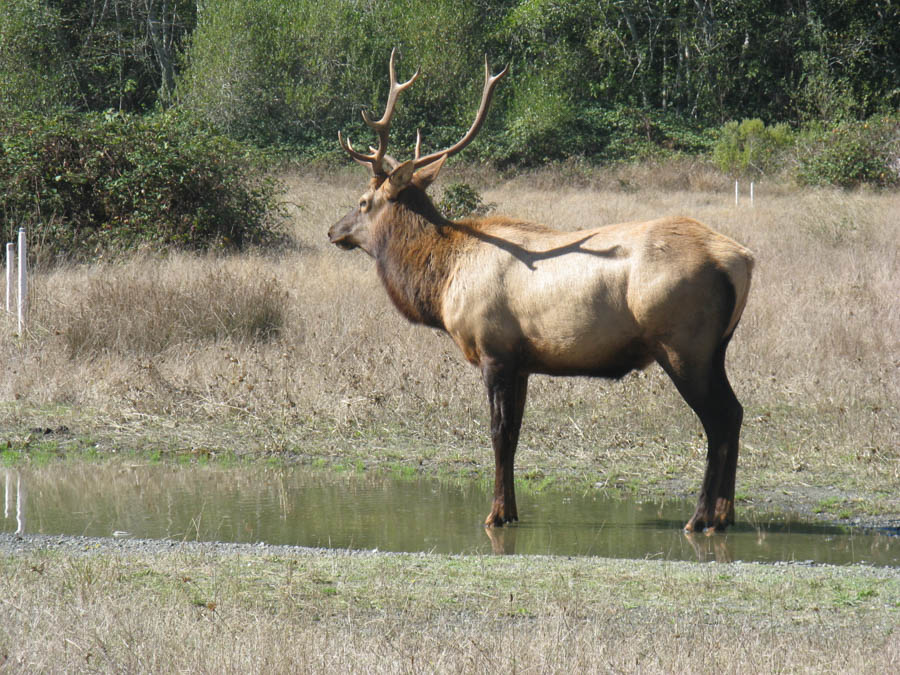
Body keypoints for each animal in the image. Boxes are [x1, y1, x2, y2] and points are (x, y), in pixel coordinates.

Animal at [328, 51, 752, 532]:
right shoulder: (524, 362)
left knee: (718, 419)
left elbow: (498, 432)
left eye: (363, 202)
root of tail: (740, 259)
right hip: (716, 346)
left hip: (683, 343)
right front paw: (511, 510)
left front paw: (494, 513)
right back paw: (725, 514)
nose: (333, 231)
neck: (443, 281)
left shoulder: (493, 348)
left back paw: (699, 517)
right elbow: (515, 433)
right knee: (737, 412)